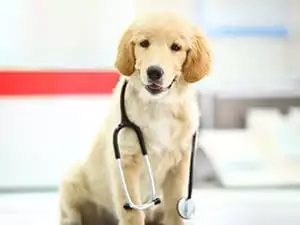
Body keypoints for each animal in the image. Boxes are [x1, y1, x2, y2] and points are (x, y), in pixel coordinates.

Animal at [59, 11, 211, 225]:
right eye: (144, 43)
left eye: (176, 47)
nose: (154, 72)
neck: (158, 105)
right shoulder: (125, 162)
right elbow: (133, 213)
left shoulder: (180, 165)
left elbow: (175, 212)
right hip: (72, 181)